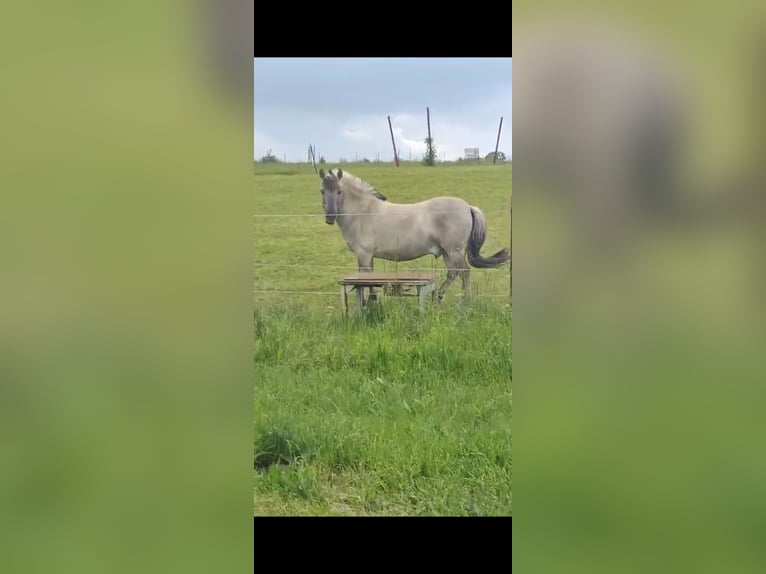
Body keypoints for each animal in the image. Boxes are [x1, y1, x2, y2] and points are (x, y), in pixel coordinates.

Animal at [320, 168, 516, 306]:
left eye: (339, 191)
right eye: (322, 191)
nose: (329, 218)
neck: (363, 212)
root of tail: (468, 206)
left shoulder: (364, 255)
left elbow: (366, 280)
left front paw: (370, 303)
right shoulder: (369, 256)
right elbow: (370, 280)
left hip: (454, 250)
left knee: (465, 272)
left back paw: (465, 301)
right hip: (447, 252)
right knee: (453, 273)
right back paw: (438, 297)